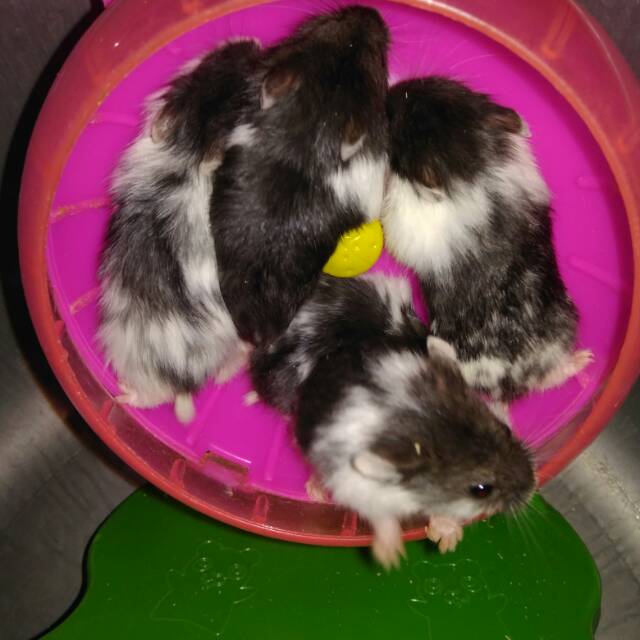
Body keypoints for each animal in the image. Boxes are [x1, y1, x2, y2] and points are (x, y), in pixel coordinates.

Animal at [250, 274, 535, 568]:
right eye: (481, 489)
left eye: (505, 430)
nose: (532, 486)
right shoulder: (359, 487)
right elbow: (381, 518)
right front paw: (390, 557)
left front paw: (447, 541)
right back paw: (316, 491)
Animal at [383, 77, 592, 409]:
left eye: (399, 122)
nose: (391, 92)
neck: (470, 168)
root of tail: (506, 382)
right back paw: (584, 360)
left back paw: (585, 360)